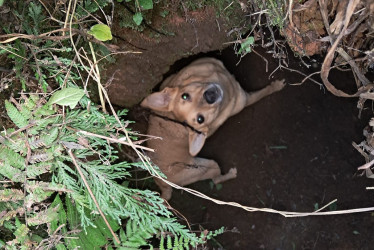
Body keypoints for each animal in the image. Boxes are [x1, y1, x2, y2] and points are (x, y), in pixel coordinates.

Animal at [140, 58, 284, 199]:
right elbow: (262, 93)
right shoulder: (246, 98)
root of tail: (161, 182)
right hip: (208, 166)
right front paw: (276, 86)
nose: (210, 96)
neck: (221, 78)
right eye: (200, 119)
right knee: (215, 180)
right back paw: (231, 174)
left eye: (185, 96)